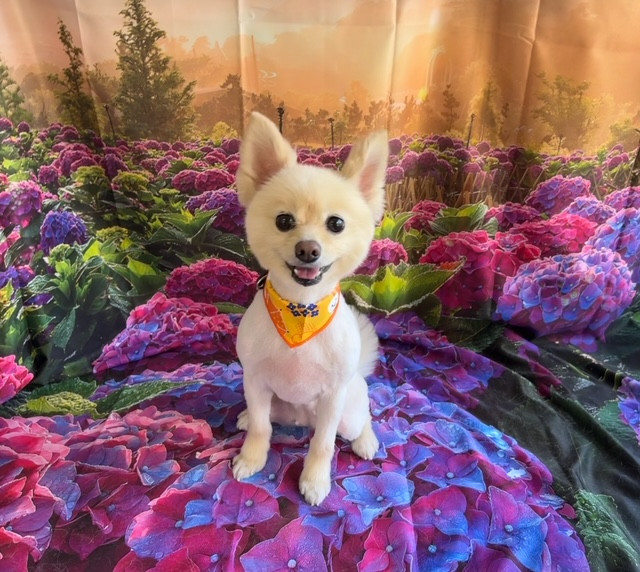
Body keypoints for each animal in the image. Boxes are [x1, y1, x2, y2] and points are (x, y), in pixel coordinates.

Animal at [232, 111, 388, 505]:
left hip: (349, 407)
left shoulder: (332, 399)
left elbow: (323, 445)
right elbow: (261, 428)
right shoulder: (255, 381)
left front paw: (315, 480)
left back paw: (366, 441)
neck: (300, 313)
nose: (308, 249)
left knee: (362, 419)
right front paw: (251, 458)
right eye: (284, 221)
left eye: (337, 224)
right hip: (274, 401)